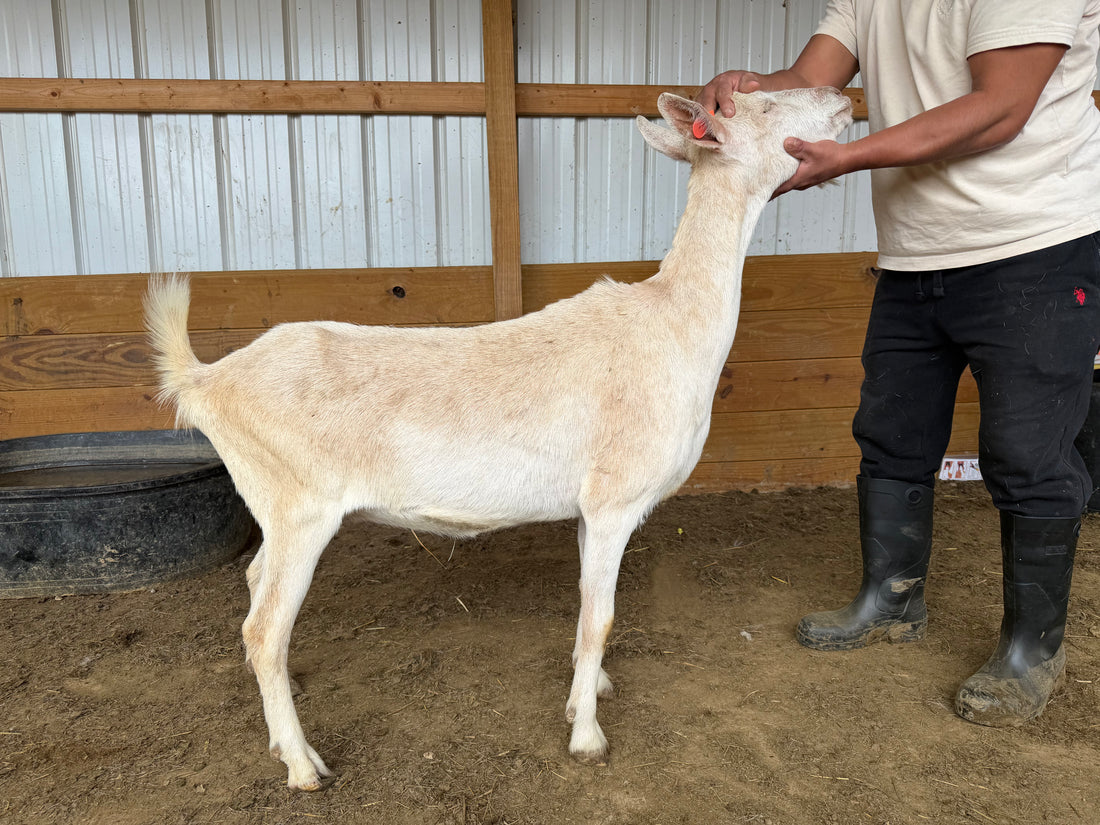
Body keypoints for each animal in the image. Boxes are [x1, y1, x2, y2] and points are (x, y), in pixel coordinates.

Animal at [143, 87, 852, 790]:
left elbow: (586, 608)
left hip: (278, 508)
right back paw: (301, 763)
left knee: (255, 583)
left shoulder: (587, 509)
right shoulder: (616, 498)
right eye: (759, 105)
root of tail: (204, 379)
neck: (675, 322)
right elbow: (602, 616)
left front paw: (588, 690)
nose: (842, 98)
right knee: (263, 629)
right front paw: (587, 737)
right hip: (299, 505)